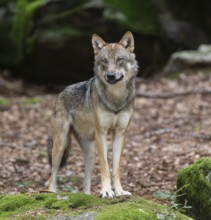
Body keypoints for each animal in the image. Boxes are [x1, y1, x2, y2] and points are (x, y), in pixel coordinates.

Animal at [46, 31, 138, 199]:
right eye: (104, 61)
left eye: (119, 60)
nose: (110, 76)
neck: (116, 98)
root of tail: (61, 92)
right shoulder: (101, 133)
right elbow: (105, 167)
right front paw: (107, 191)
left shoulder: (120, 134)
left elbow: (115, 168)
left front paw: (119, 191)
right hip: (61, 145)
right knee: (53, 174)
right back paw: (50, 193)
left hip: (90, 153)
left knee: (85, 182)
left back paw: (87, 196)